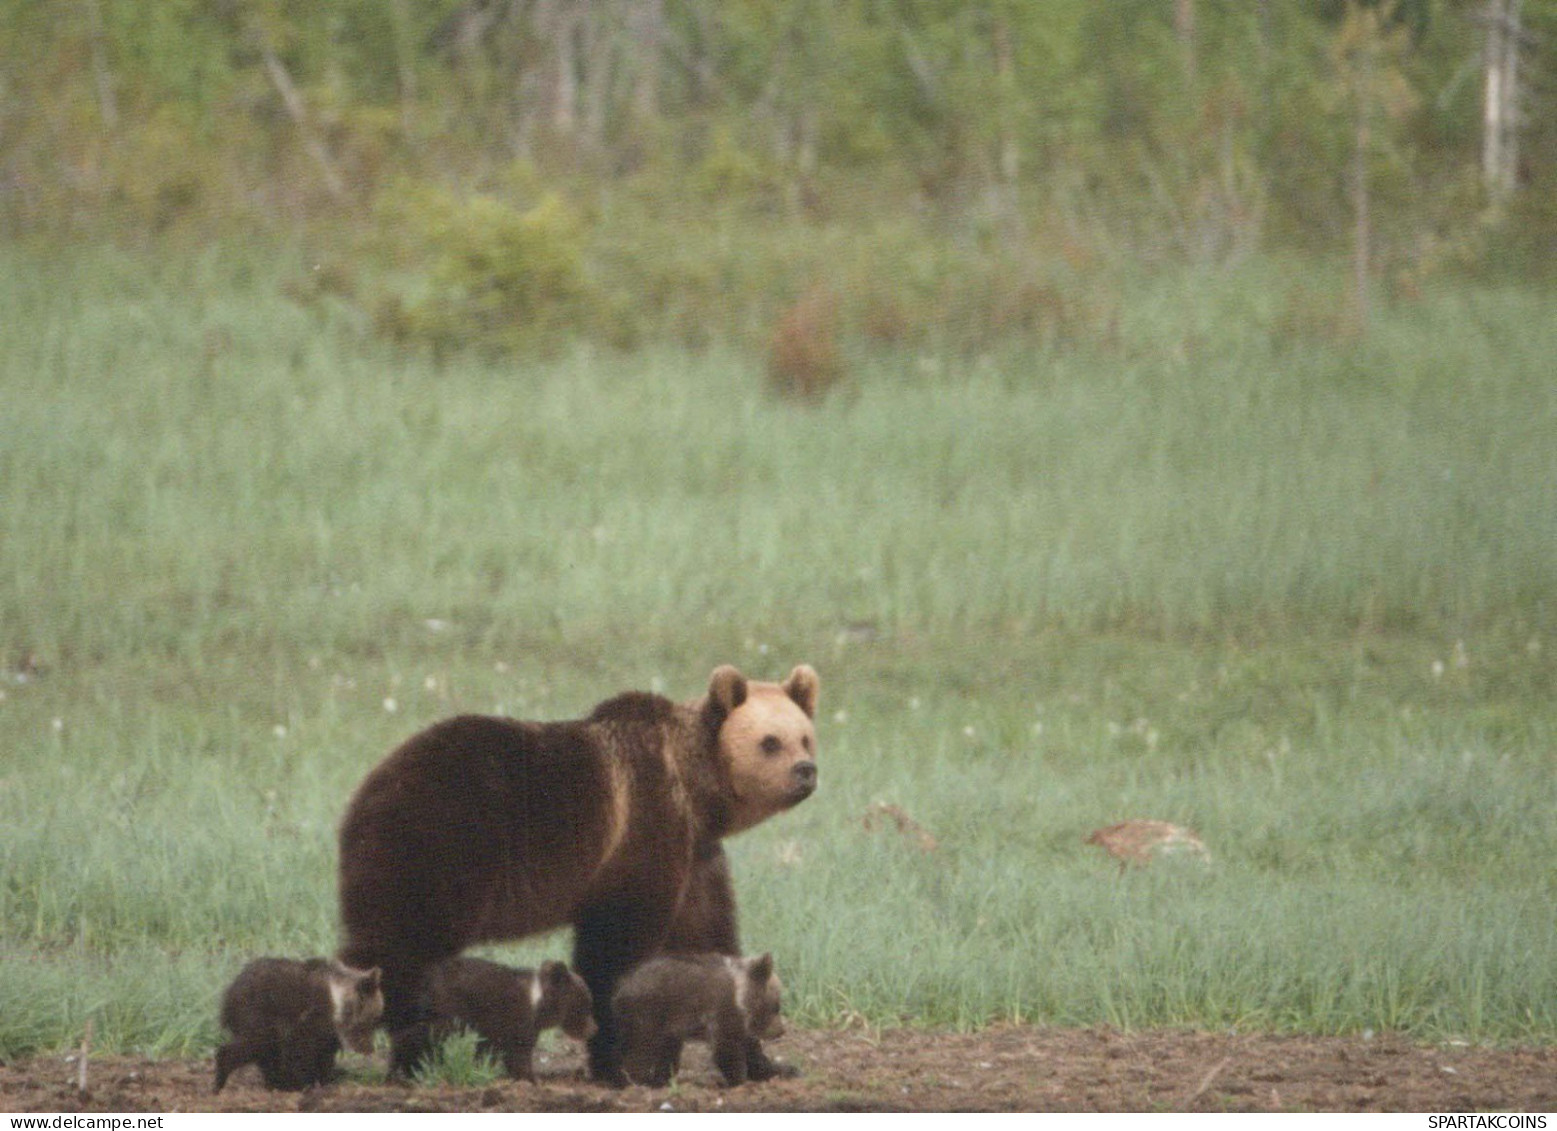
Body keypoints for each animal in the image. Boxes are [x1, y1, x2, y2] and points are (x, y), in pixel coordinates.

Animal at [211, 959, 381, 1096]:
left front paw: (323, 1080)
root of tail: (230, 994)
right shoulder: (307, 1023)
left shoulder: (326, 1035)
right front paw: (302, 1083)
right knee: (249, 1046)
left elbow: (324, 1057)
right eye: (368, 1022)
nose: (369, 1049)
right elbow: (301, 1054)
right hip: (259, 1018)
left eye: (375, 1021)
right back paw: (219, 1082)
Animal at [392, 959, 597, 1084]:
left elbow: (489, 1051)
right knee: (424, 1034)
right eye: (586, 1003)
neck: (539, 1005)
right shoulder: (517, 1020)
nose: (594, 1029)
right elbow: (519, 1053)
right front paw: (532, 1078)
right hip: (448, 1011)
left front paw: (482, 1070)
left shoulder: (495, 1028)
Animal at [613, 959, 784, 1090]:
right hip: (649, 1015)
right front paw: (737, 1079)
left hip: (666, 1027)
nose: (781, 1031)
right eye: (776, 1006)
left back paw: (662, 1079)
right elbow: (727, 1049)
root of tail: (620, 990)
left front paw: (767, 1071)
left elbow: (750, 1050)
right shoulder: (721, 1014)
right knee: (642, 1049)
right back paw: (641, 1080)